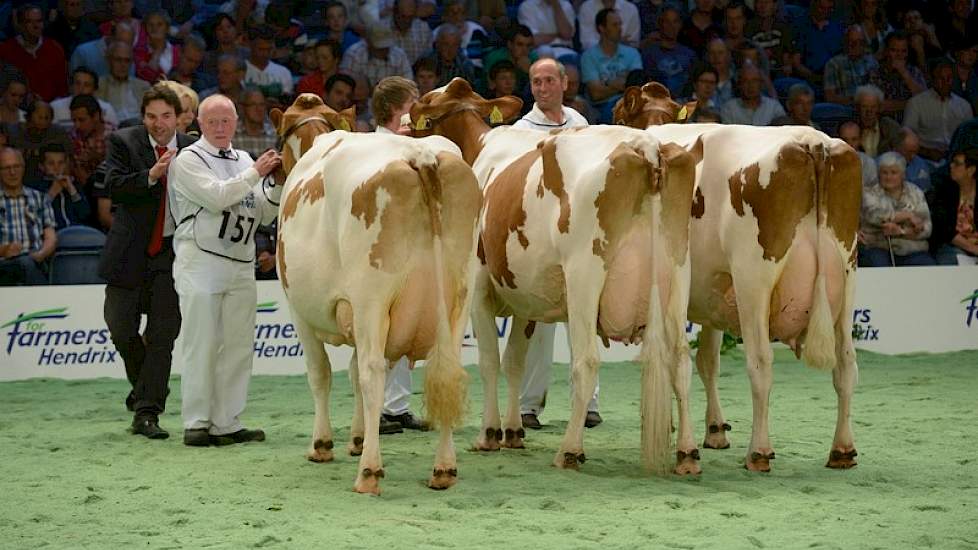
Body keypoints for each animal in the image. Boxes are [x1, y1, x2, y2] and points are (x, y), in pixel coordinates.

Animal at [268, 95, 482, 496]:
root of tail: (420, 154)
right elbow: (351, 372)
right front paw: (356, 438)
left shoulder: (300, 311)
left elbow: (323, 374)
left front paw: (323, 444)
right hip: (460, 294)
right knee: (447, 371)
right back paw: (444, 468)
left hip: (373, 299)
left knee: (372, 373)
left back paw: (369, 472)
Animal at [408, 78, 696, 478]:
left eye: (422, 103)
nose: (404, 125)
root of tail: (648, 146)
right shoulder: (525, 299)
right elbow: (515, 360)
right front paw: (513, 431)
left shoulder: (479, 287)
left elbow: (490, 361)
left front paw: (489, 433)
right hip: (678, 274)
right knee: (681, 360)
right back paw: (687, 452)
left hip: (585, 275)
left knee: (587, 362)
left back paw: (570, 450)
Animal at [612, 84, 856, 472]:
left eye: (619, 117)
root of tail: (812, 142)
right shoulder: (710, 292)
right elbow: (708, 360)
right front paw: (715, 430)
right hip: (847, 280)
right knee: (846, 363)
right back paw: (842, 450)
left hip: (753, 280)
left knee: (760, 362)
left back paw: (759, 451)